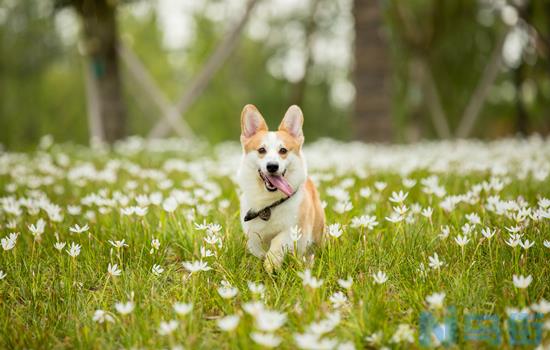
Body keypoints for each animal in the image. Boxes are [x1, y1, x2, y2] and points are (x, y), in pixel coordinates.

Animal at [238, 102, 326, 272]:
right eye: (261, 150)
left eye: (283, 150)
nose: (272, 166)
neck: (269, 204)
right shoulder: (253, 234)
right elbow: (257, 249)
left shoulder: (294, 228)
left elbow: (278, 241)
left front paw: (271, 263)